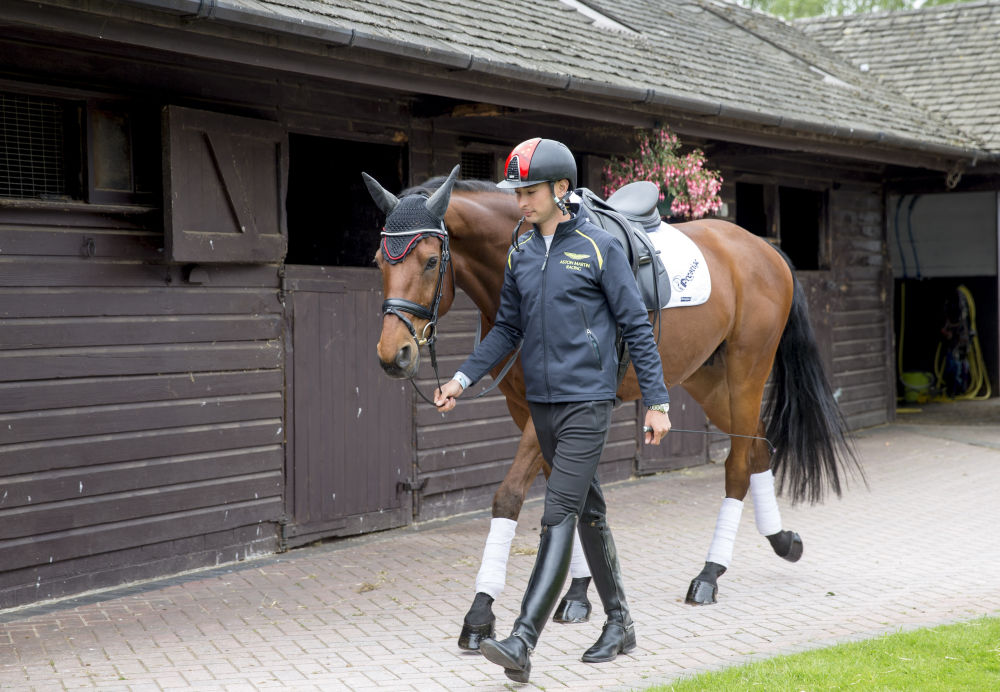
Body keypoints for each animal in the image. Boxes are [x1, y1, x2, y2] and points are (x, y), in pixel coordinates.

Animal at [366, 165, 860, 652]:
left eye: (431, 261)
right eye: (378, 261)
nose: (394, 356)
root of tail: (763, 249)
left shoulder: (553, 413)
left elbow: (510, 497)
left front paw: (480, 614)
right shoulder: (530, 410)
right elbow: (575, 497)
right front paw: (578, 595)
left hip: (746, 373)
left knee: (738, 462)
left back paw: (708, 575)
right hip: (707, 380)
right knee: (756, 446)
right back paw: (781, 540)